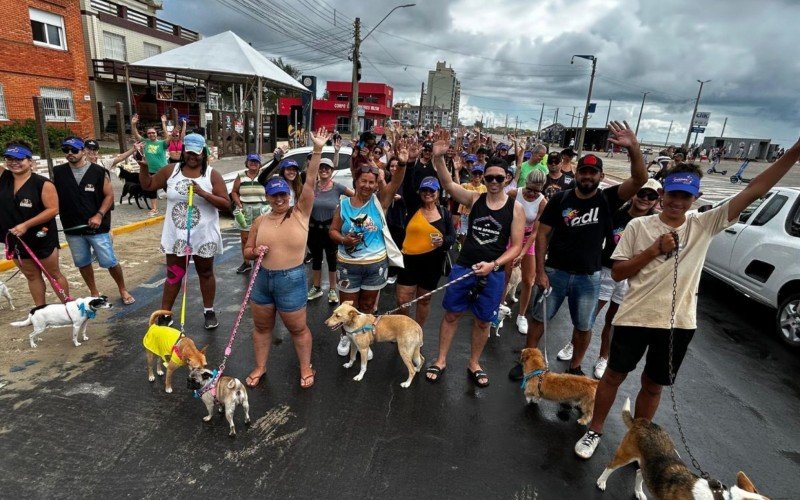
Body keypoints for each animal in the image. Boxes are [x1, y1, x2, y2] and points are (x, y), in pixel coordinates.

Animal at [596, 398, 764, 500]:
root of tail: (644, 422)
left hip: (648, 464)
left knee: (639, 472)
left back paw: (639, 491)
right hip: (626, 454)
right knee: (610, 466)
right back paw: (601, 482)